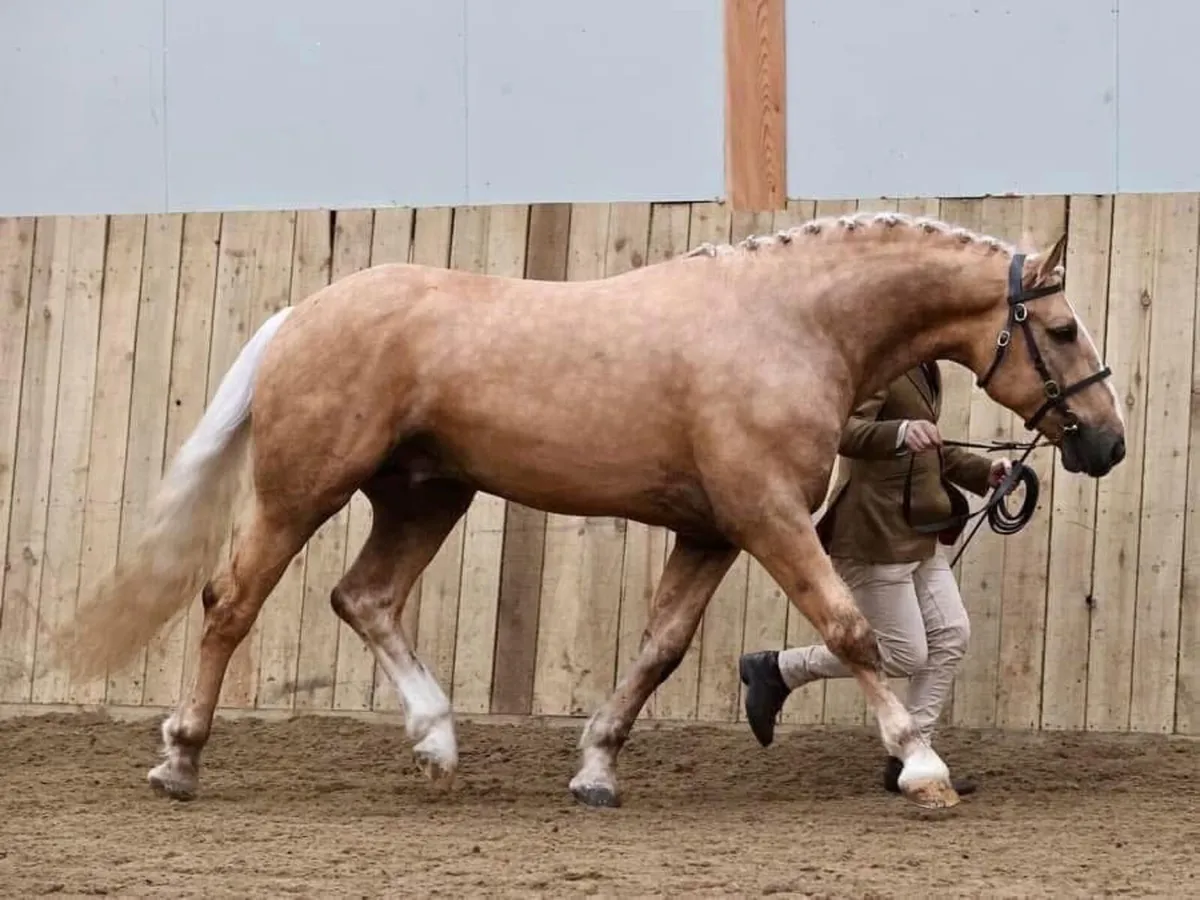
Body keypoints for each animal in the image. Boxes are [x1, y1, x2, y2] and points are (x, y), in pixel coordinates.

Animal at [51, 210, 1125, 812]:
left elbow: (659, 651)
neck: (789, 323)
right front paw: (922, 767)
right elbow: (850, 630)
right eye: (1066, 328)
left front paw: (597, 770)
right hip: (299, 490)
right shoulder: (769, 519)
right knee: (231, 602)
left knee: (365, 598)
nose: (1106, 445)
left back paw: (437, 741)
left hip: (428, 494)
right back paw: (181, 762)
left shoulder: (711, 531)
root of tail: (301, 315)